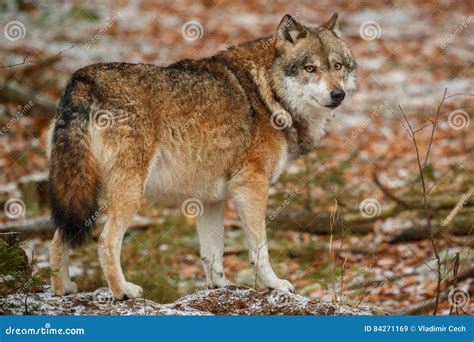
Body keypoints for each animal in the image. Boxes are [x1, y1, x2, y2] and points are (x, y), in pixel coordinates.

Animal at [49, 13, 356, 298]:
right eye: (310, 68)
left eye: (337, 66)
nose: (338, 94)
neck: (269, 92)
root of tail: (82, 79)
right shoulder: (252, 186)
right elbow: (259, 248)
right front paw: (275, 284)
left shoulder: (210, 199)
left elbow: (212, 254)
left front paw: (220, 287)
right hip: (128, 193)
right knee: (105, 241)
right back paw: (122, 291)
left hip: (82, 189)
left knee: (59, 236)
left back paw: (62, 289)